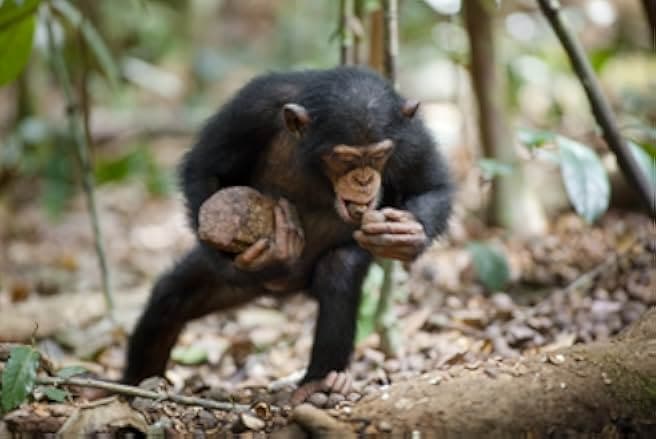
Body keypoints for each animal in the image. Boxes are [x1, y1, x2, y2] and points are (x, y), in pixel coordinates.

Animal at [123, 66, 453, 403]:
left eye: (378, 156)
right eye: (344, 159)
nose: (362, 180)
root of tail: (283, 289)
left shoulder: (410, 137)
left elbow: (431, 186)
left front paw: (407, 235)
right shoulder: (250, 108)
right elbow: (205, 168)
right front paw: (236, 259)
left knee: (339, 272)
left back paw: (319, 381)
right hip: (240, 284)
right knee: (169, 302)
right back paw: (134, 386)